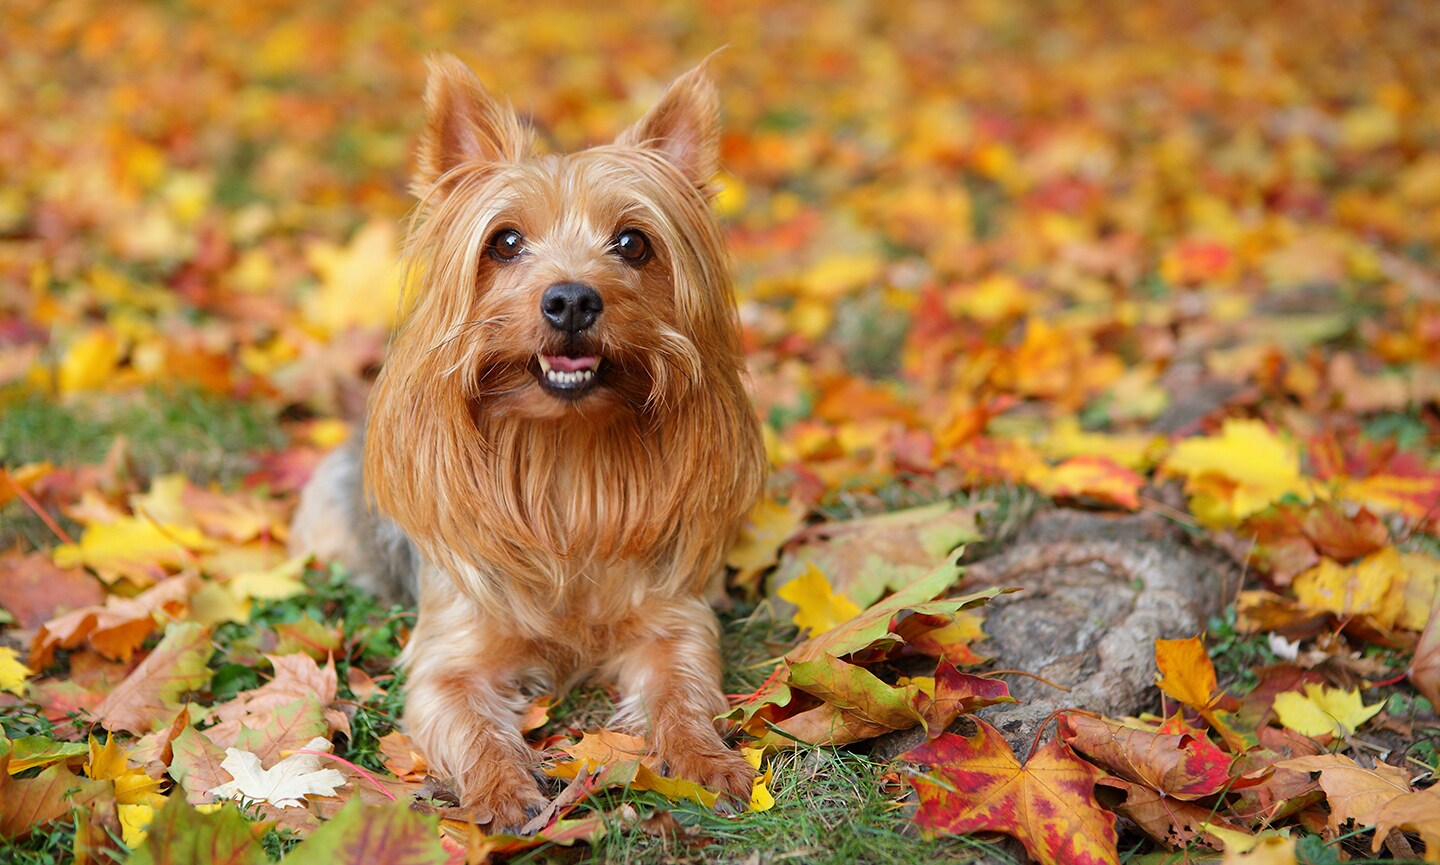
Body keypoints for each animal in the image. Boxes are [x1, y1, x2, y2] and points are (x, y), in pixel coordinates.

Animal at [286, 55, 771, 829]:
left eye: (634, 242)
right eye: (505, 241)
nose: (571, 299)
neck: (563, 455)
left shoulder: (672, 622)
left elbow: (683, 690)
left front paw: (707, 760)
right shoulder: (450, 654)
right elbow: (469, 720)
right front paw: (502, 790)